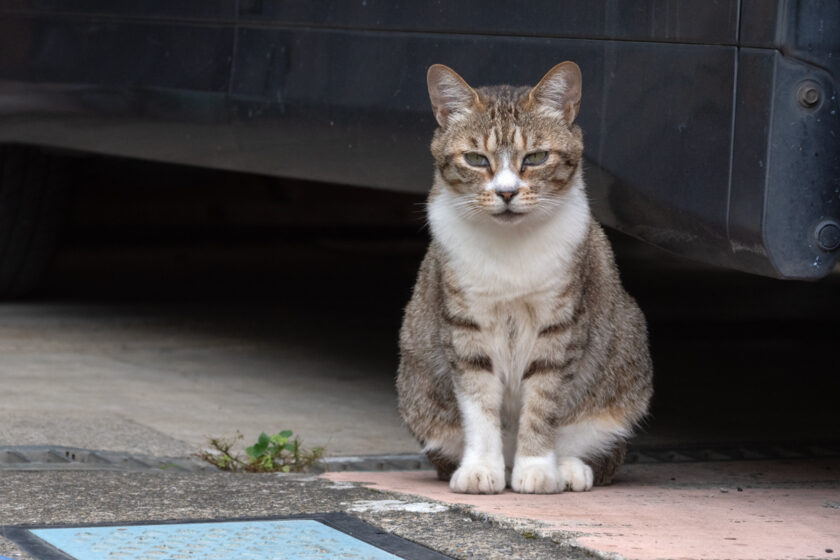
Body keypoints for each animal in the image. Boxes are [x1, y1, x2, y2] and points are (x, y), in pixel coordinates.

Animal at [398, 62, 652, 494]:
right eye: (475, 158)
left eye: (535, 157)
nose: (506, 192)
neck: (510, 246)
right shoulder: (466, 325)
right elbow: (479, 404)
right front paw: (481, 468)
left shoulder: (560, 325)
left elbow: (543, 401)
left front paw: (536, 467)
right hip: (416, 389)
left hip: (625, 365)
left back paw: (568, 467)